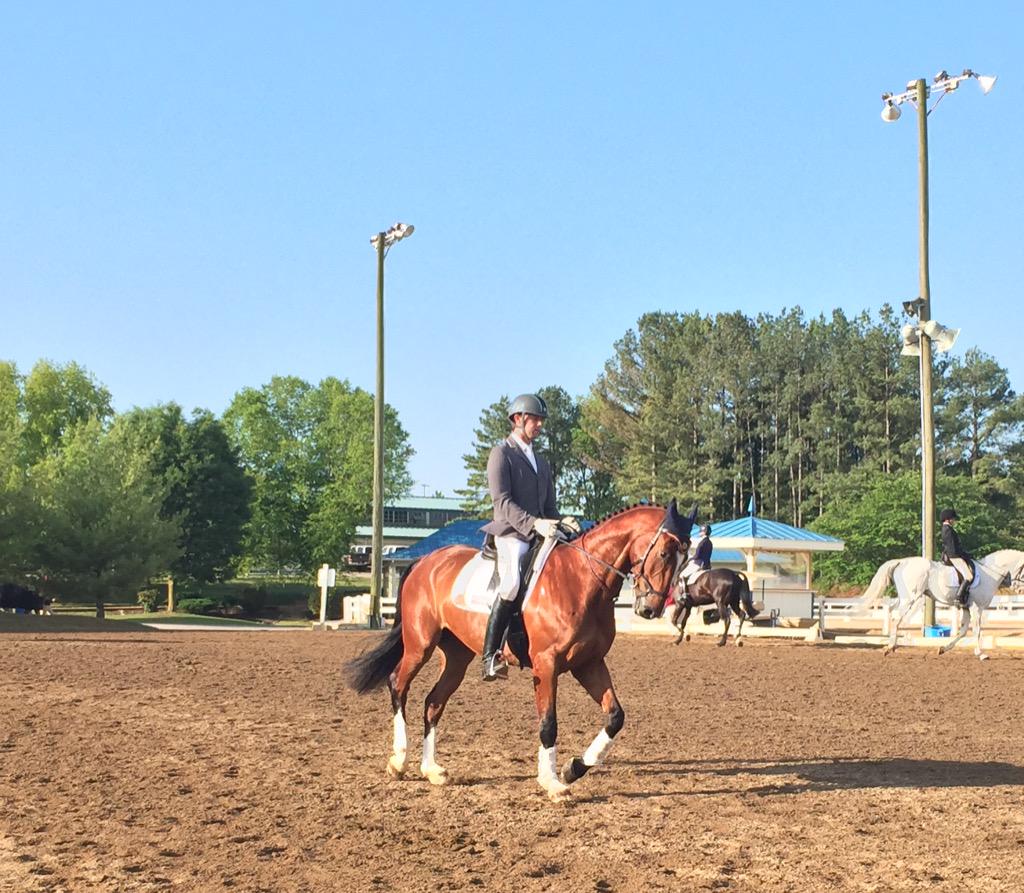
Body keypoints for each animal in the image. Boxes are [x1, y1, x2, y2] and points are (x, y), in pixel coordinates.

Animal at [344, 501, 693, 802]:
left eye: (685, 559)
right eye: (664, 553)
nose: (651, 609)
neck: (581, 579)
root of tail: (426, 560)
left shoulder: (590, 664)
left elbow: (615, 716)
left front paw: (573, 768)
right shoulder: (546, 665)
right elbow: (548, 723)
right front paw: (552, 783)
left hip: (456, 656)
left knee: (433, 702)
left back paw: (432, 770)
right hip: (420, 646)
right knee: (398, 685)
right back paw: (398, 762)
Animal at [859, 549, 1024, 660]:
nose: (1021, 590)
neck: (989, 574)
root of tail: (902, 561)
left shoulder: (967, 608)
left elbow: (963, 632)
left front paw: (943, 648)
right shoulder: (977, 607)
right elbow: (977, 630)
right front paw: (981, 654)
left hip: (904, 598)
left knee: (891, 612)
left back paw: (891, 644)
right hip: (910, 598)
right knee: (896, 619)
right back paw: (890, 647)